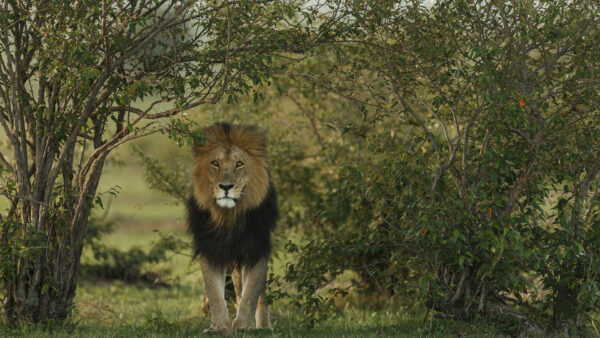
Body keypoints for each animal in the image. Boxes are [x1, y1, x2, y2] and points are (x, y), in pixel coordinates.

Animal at [186, 122, 278, 332]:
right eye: (215, 163)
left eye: (239, 164)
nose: (226, 187)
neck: (229, 217)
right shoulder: (210, 249)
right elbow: (214, 294)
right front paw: (219, 328)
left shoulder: (256, 248)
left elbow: (251, 293)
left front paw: (244, 326)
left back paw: (263, 327)